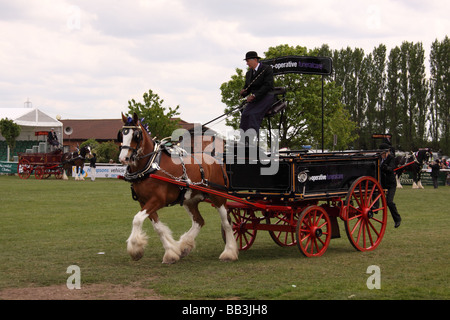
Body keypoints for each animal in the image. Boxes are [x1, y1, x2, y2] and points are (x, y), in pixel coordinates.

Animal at [118, 114, 239, 264]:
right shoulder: (144, 201)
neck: (152, 164)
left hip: (219, 197)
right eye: (121, 135)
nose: (123, 158)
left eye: (136, 135)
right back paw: (184, 246)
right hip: (190, 200)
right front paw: (171, 252)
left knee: (226, 223)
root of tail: (216, 160)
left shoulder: (157, 200)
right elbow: (157, 227)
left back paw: (229, 252)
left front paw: (135, 249)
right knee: (199, 221)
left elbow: (137, 219)